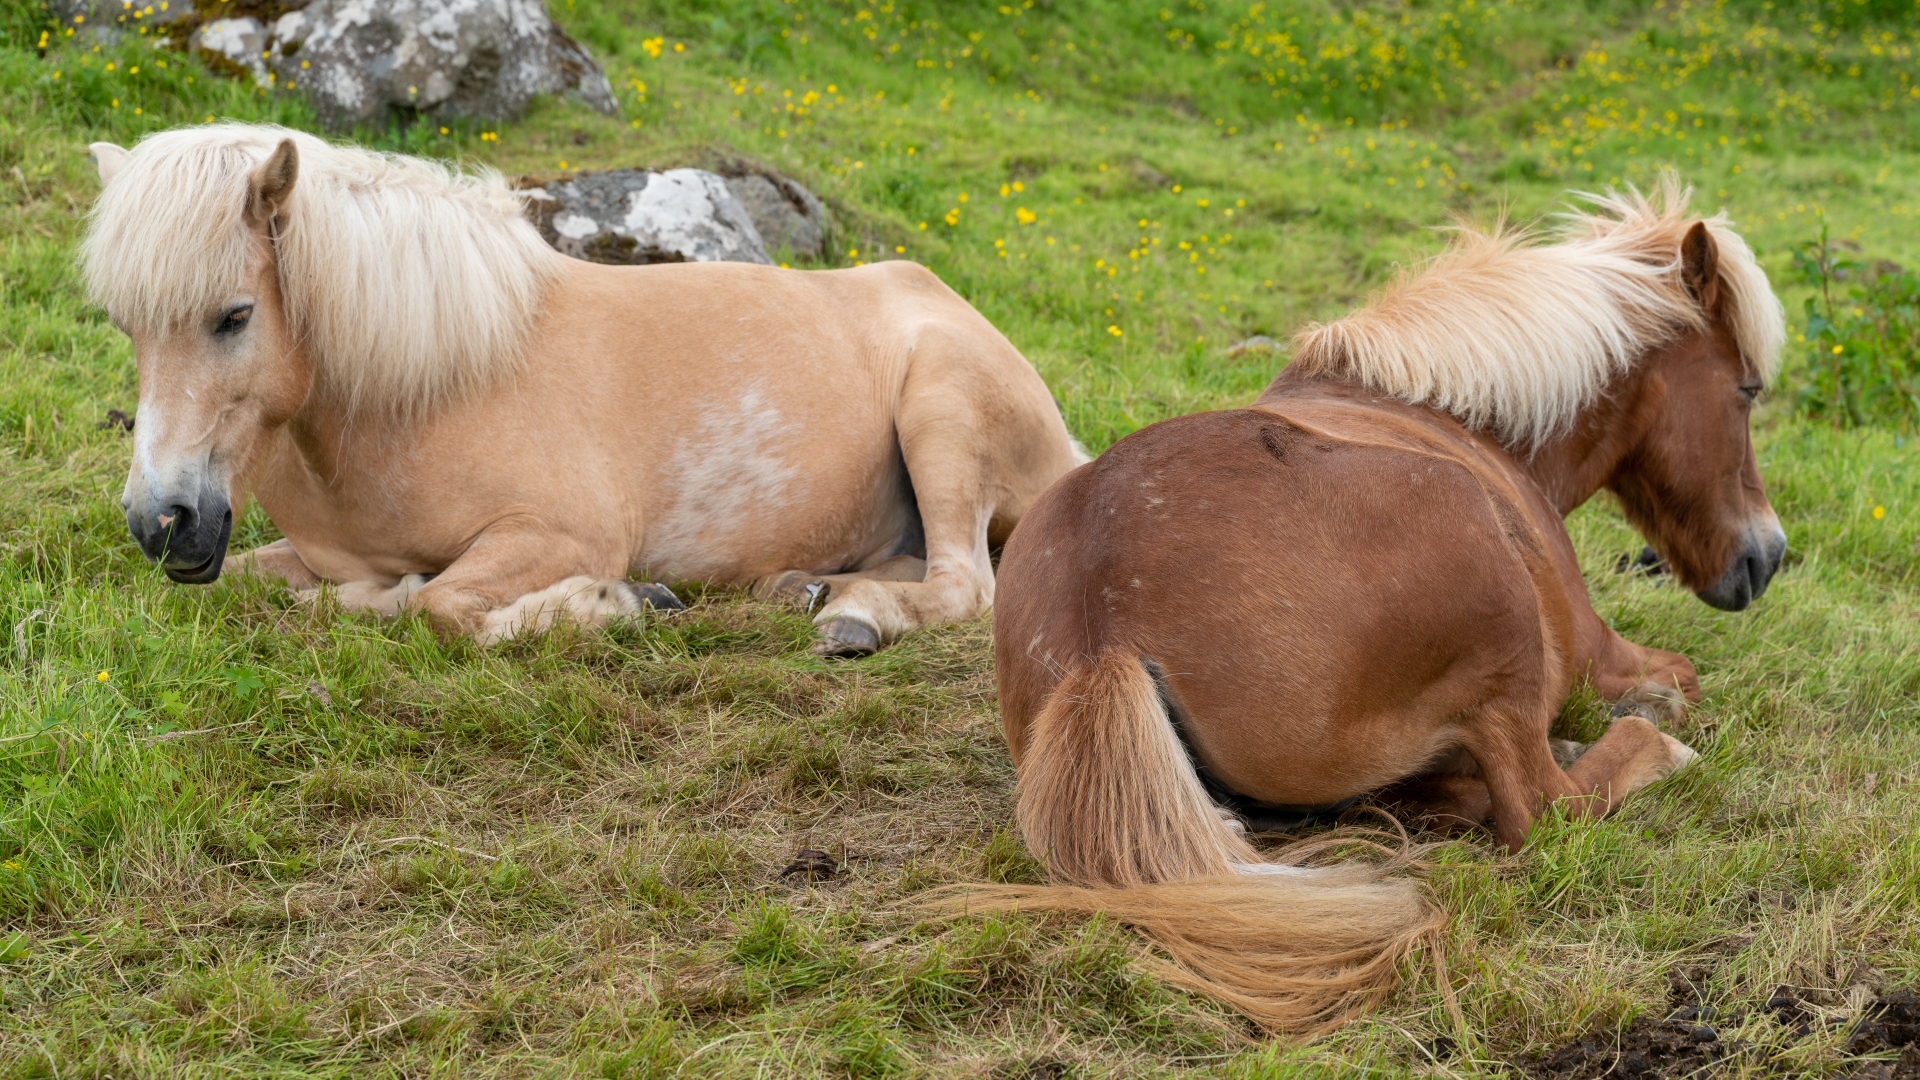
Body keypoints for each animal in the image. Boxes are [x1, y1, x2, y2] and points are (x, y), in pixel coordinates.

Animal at [82, 122, 1090, 653]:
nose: (161, 521)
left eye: (234, 315)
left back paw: (854, 617)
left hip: (940, 412)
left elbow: (441, 607)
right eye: (126, 326)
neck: (419, 392)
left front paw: (614, 604)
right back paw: (802, 588)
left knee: (965, 585)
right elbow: (262, 587)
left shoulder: (562, 535)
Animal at [967, 178, 1789, 1037]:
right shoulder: (1607, 658)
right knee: (1543, 807)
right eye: (1746, 390)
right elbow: (1679, 676)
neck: (1456, 419)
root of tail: (1101, 640)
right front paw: (1659, 711)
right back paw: (1646, 745)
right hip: (1493, 610)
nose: (1767, 557)